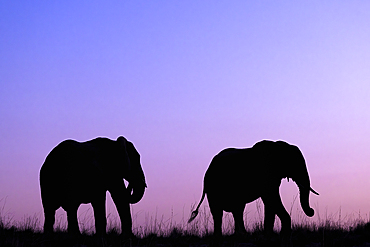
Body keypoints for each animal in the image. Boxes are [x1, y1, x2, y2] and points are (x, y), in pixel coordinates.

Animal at [189, 140, 320, 236]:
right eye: (295, 163)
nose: (312, 211)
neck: (278, 146)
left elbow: (270, 202)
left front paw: (269, 234)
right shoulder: (265, 174)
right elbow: (271, 198)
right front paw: (284, 233)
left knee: (237, 210)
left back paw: (241, 235)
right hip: (212, 187)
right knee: (218, 212)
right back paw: (220, 236)